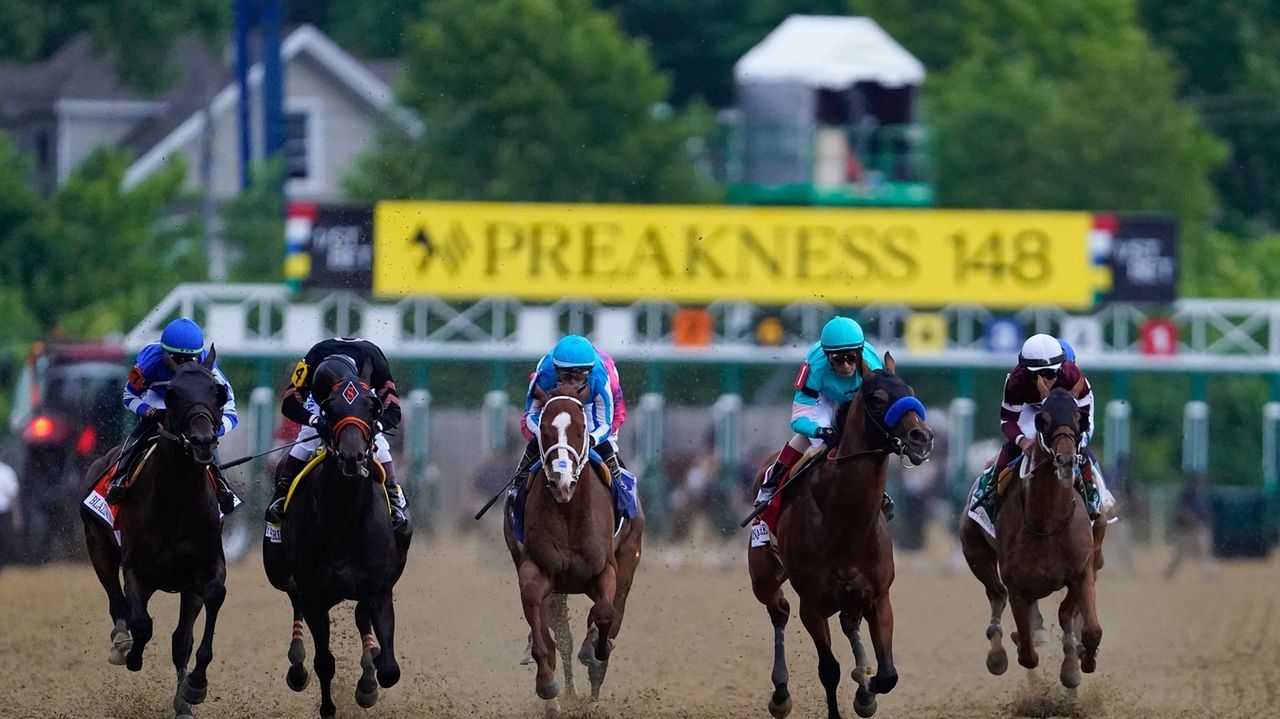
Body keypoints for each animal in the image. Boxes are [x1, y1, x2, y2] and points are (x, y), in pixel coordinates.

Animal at [80, 347, 231, 716]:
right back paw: (121, 642)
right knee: (118, 603)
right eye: (173, 395)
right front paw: (133, 656)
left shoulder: (202, 572)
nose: (202, 441)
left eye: (217, 393)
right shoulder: (136, 571)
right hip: (98, 544)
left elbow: (190, 634)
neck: (176, 500)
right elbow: (142, 624)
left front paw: (191, 691)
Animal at [263, 363, 412, 716]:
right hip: (277, 569)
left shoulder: (379, 589)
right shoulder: (315, 594)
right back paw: (297, 666)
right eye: (330, 409)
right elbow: (324, 661)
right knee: (294, 598)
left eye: (372, 408)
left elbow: (389, 669)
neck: (344, 519)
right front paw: (328, 705)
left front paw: (370, 679)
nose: (352, 456)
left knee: (360, 618)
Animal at [504, 381, 645, 706]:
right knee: (560, 634)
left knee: (614, 611)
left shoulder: (605, 570)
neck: (568, 514)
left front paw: (594, 650)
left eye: (582, 428)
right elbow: (540, 621)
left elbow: (604, 614)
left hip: (629, 560)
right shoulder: (536, 569)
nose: (562, 481)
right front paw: (546, 683)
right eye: (544, 428)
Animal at [747, 353, 936, 716]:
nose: (922, 437)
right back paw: (780, 693)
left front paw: (867, 689)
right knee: (779, 610)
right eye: (878, 399)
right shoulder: (812, 604)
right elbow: (829, 670)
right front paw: (859, 686)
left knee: (848, 623)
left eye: (910, 391)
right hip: (763, 574)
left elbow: (888, 674)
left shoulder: (878, 596)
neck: (845, 520)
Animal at [962, 386, 1100, 690]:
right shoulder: (1017, 586)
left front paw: (1082, 662)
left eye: (1078, 417)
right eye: (1043, 419)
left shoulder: (1082, 572)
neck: (1046, 522)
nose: (1066, 459)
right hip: (975, 552)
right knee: (996, 595)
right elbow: (1027, 653)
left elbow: (1089, 628)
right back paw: (998, 653)